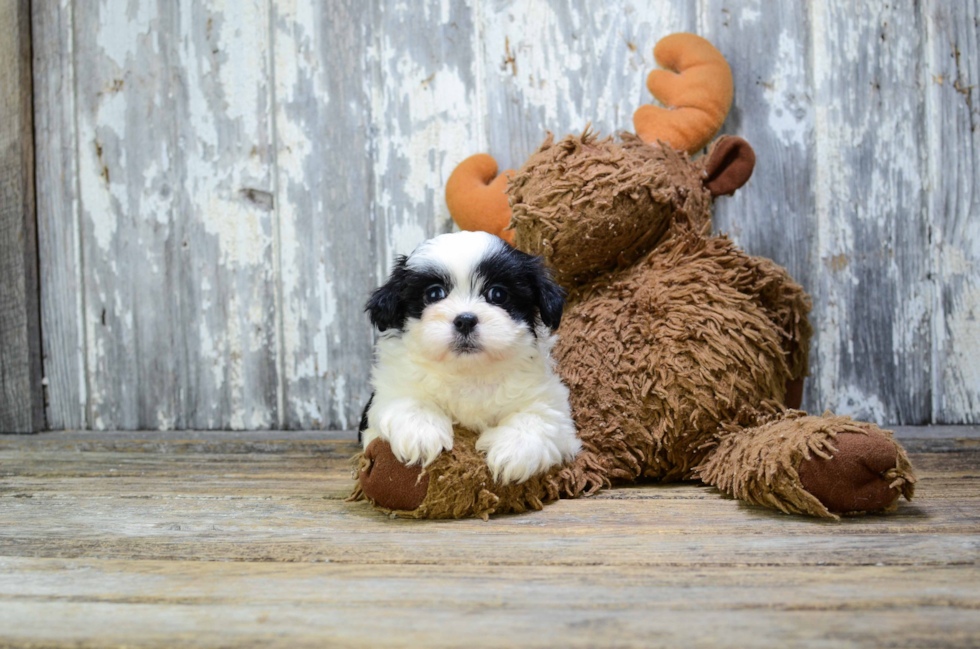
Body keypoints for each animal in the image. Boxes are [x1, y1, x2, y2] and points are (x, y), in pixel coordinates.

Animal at [362, 230, 580, 484]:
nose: (465, 320)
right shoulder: (393, 386)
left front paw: (513, 452)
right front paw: (421, 433)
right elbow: (407, 400)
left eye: (498, 294)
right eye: (434, 293)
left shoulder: (548, 399)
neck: (469, 372)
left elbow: (539, 416)